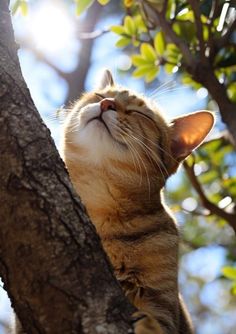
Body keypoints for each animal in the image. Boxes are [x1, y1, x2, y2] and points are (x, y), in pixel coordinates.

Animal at [60, 69, 214, 332]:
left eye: (139, 113)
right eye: (99, 96)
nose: (106, 103)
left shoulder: (163, 305)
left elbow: (159, 323)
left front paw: (147, 323)